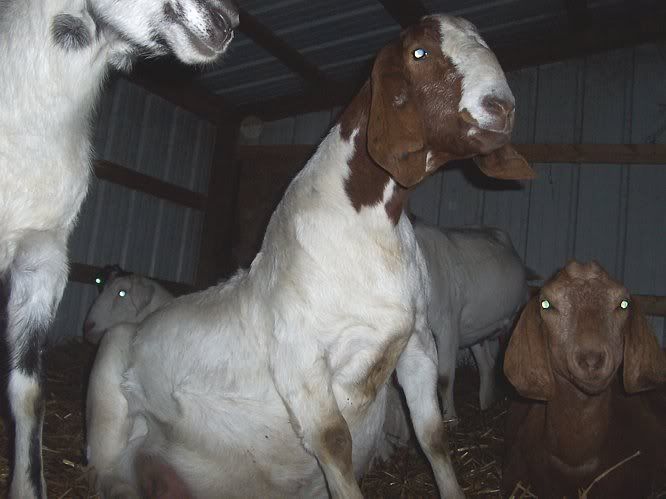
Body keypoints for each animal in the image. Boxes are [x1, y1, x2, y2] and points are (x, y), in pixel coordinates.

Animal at [86, 15, 535, 498]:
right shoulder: (302, 358)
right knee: (106, 468)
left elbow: (433, 435)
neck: (367, 223)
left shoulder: (417, 341)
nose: (503, 107)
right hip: (110, 375)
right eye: (420, 53)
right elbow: (334, 442)